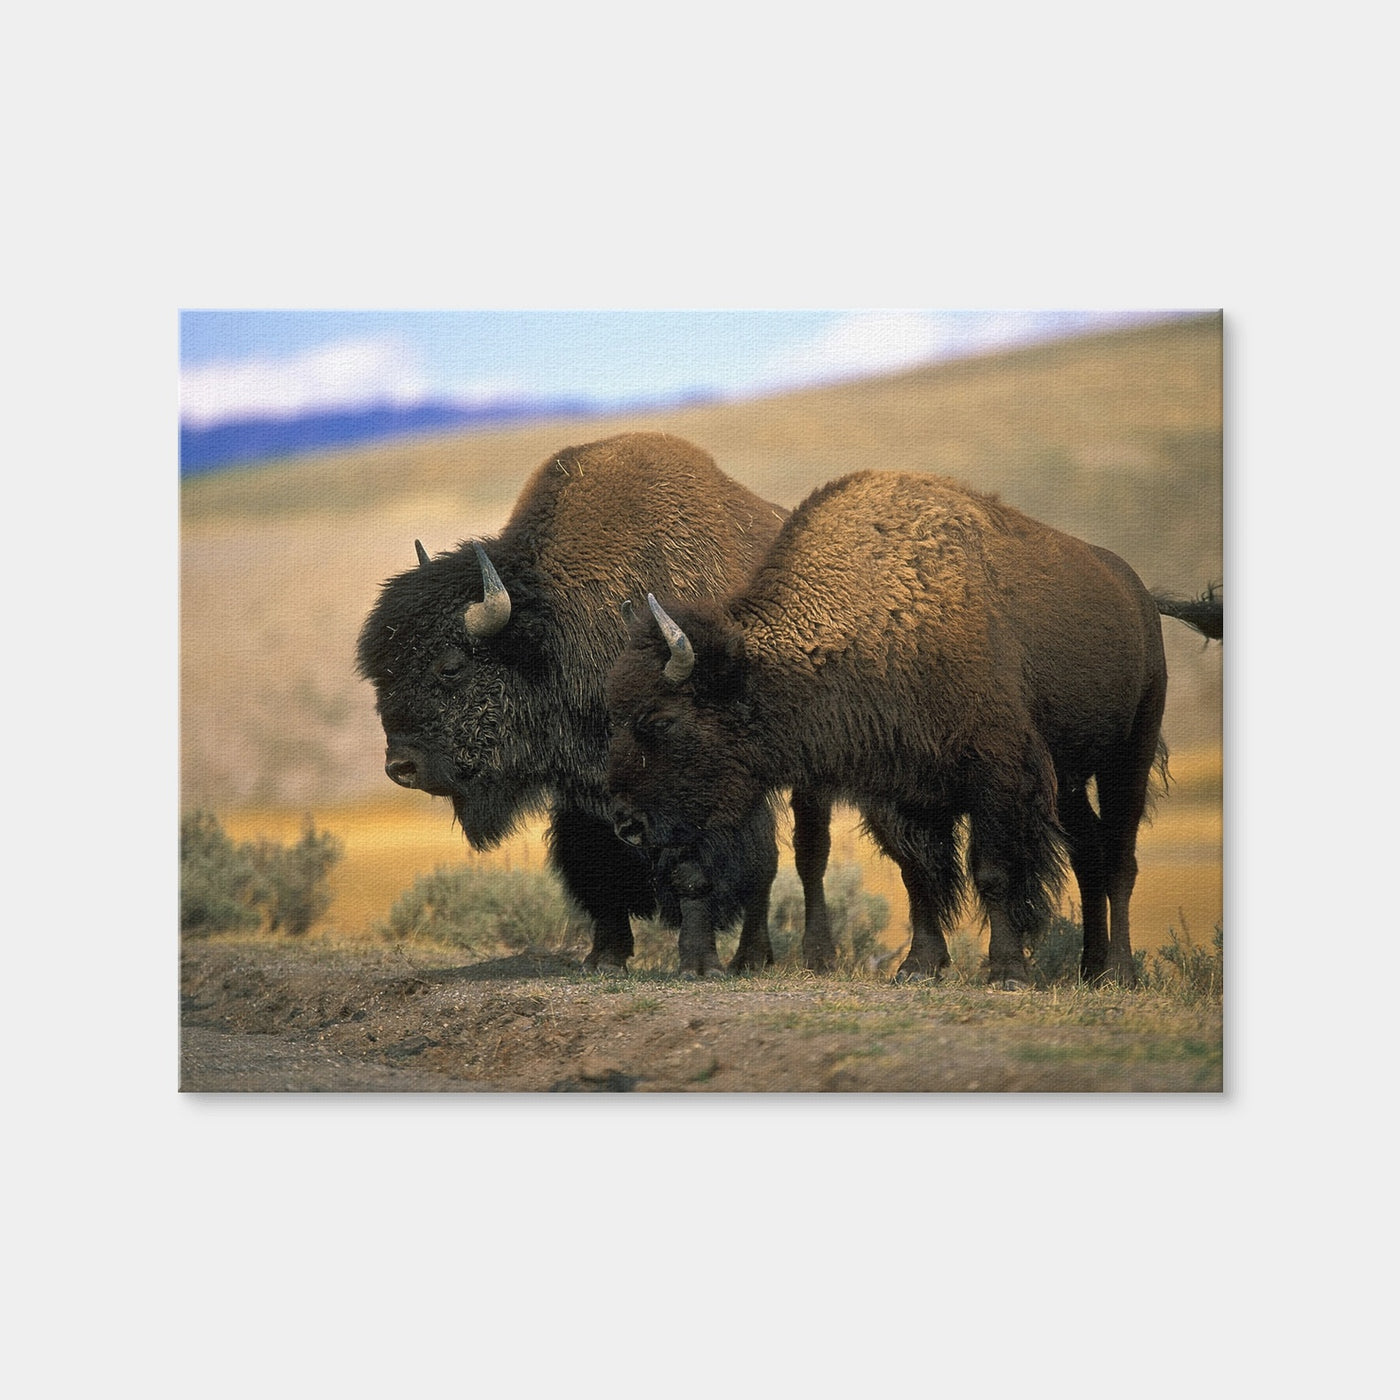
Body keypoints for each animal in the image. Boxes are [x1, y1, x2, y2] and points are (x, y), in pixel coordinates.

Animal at [356, 431, 827, 976]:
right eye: (380, 673)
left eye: (451, 666)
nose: (400, 767)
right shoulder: (583, 793)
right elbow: (598, 867)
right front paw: (605, 956)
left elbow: (698, 869)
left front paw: (698, 963)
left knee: (787, 861)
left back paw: (759, 958)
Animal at [606, 469, 1179, 988]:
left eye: (661, 720)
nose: (625, 823)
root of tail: (1138, 595)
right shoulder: (900, 793)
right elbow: (918, 874)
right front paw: (918, 967)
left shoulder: (997, 777)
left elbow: (994, 873)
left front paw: (1007, 972)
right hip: (1072, 777)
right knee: (1089, 855)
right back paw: (1090, 969)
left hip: (1128, 755)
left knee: (1119, 858)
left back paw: (1120, 973)